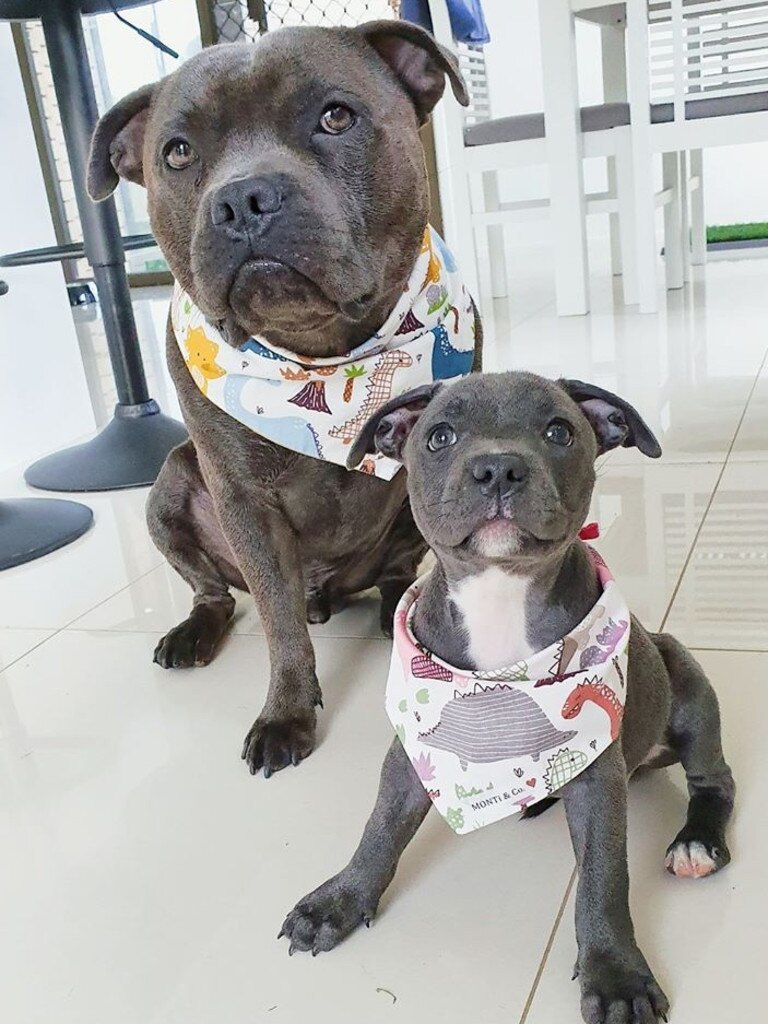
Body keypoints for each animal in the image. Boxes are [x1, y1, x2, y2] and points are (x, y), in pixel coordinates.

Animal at [85, 22, 481, 774]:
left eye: (336, 117)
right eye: (177, 152)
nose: (243, 199)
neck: (318, 358)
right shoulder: (243, 501)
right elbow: (277, 622)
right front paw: (287, 713)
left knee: (395, 571)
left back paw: (393, 606)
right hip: (169, 489)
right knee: (215, 592)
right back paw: (195, 632)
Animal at [280, 372, 733, 1024]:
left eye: (560, 432)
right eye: (439, 436)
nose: (498, 468)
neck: (499, 594)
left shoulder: (598, 776)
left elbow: (602, 879)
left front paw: (615, 976)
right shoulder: (411, 754)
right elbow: (380, 827)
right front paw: (338, 900)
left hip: (688, 683)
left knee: (714, 781)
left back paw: (697, 842)